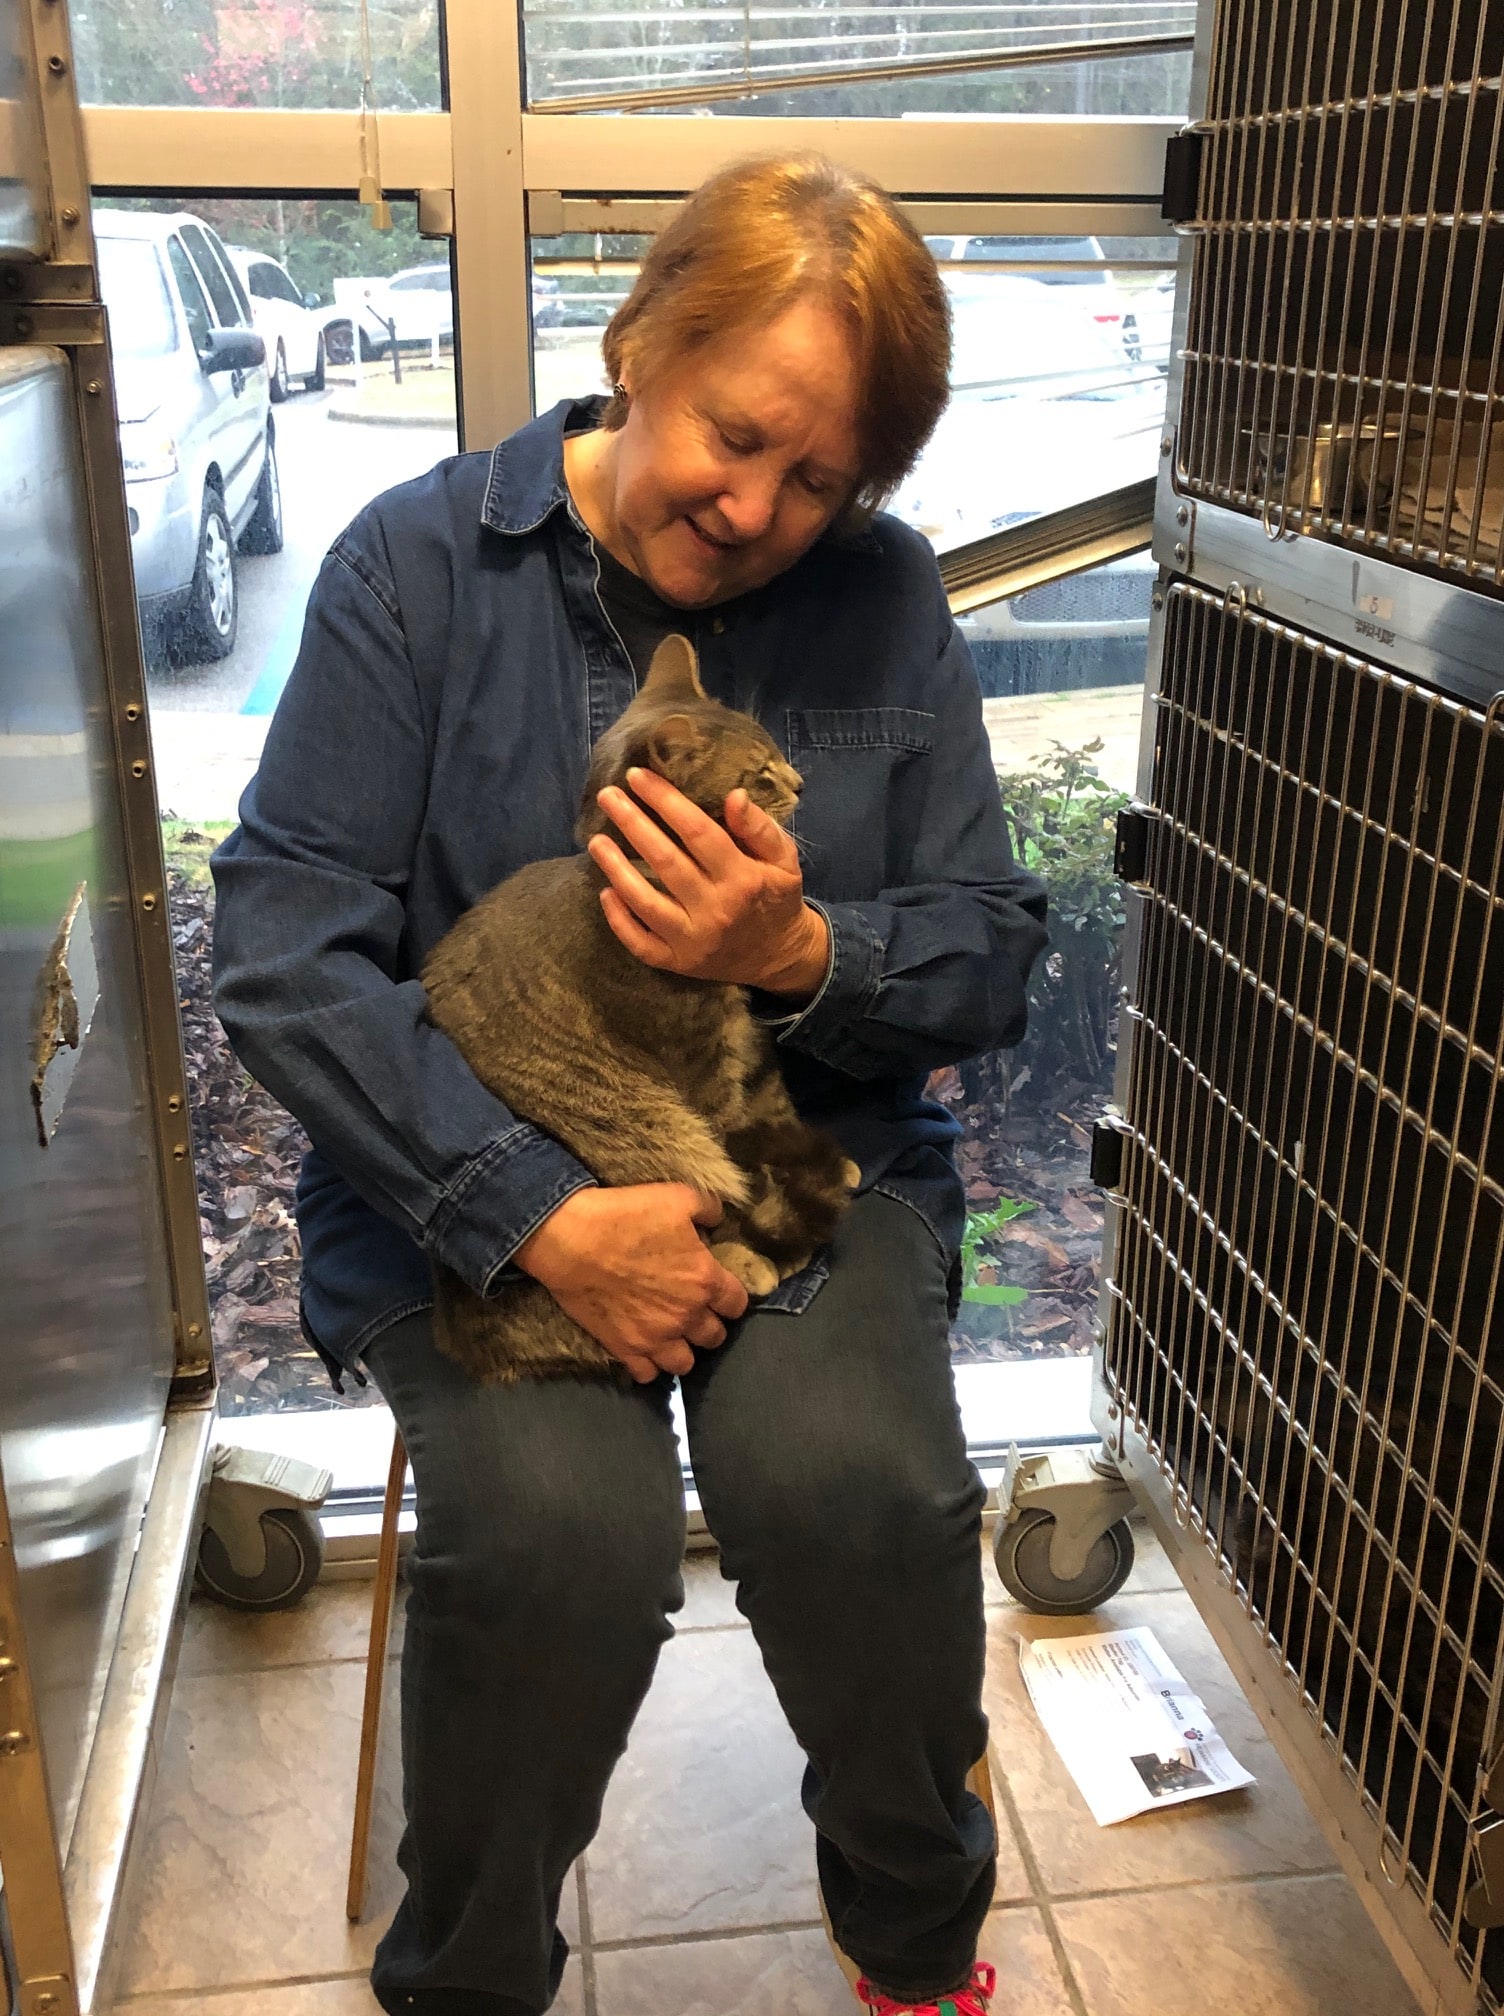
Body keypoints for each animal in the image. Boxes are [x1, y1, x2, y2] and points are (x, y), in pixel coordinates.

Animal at [419, 633, 854, 1387]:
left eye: (779, 752)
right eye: (760, 773)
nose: (800, 782)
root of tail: (462, 1339)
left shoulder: (742, 1044)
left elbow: (768, 1116)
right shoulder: (697, 1071)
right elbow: (733, 1173)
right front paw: (758, 1233)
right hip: (637, 1136)